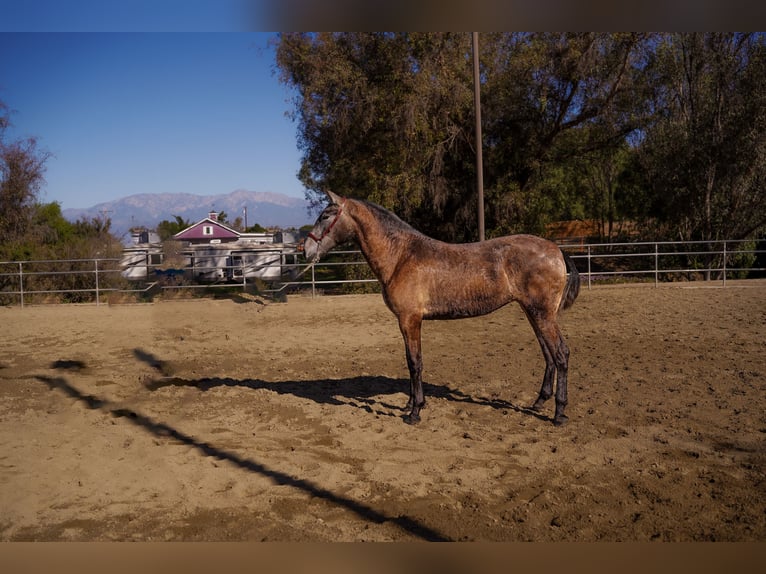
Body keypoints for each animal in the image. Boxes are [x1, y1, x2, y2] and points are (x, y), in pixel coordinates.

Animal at [303, 190, 580, 426]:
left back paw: (559, 413)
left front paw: (415, 412)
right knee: (548, 354)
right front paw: (410, 404)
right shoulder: (407, 321)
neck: (401, 256)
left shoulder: (410, 319)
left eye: (326, 216)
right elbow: (410, 361)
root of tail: (556, 250)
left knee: (561, 354)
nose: (306, 250)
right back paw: (539, 402)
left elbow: (415, 362)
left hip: (542, 315)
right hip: (533, 312)